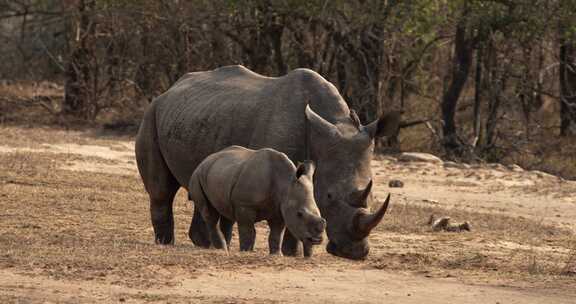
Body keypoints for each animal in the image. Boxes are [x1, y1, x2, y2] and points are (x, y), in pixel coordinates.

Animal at [188, 146, 326, 255]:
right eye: (299, 214)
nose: (316, 240)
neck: (285, 183)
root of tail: (205, 159)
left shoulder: (280, 208)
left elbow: (277, 234)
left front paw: (276, 255)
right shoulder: (244, 204)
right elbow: (248, 231)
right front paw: (246, 251)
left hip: (221, 173)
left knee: (226, 213)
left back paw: (225, 248)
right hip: (197, 176)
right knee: (209, 213)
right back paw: (222, 249)